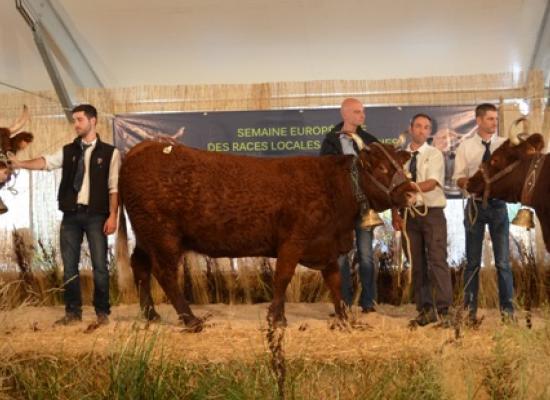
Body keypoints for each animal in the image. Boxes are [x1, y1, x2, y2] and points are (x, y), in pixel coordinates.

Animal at [118, 138, 416, 332]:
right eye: (382, 168)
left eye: (402, 167)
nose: (412, 193)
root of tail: (143, 147)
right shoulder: (293, 241)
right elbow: (282, 277)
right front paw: (277, 318)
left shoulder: (326, 245)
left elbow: (333, 282)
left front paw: (344, 318)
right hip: (163, 235)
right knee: (164, 273)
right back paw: (191, 320)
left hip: (145, 236)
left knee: (140, 266)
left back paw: (150, 314)